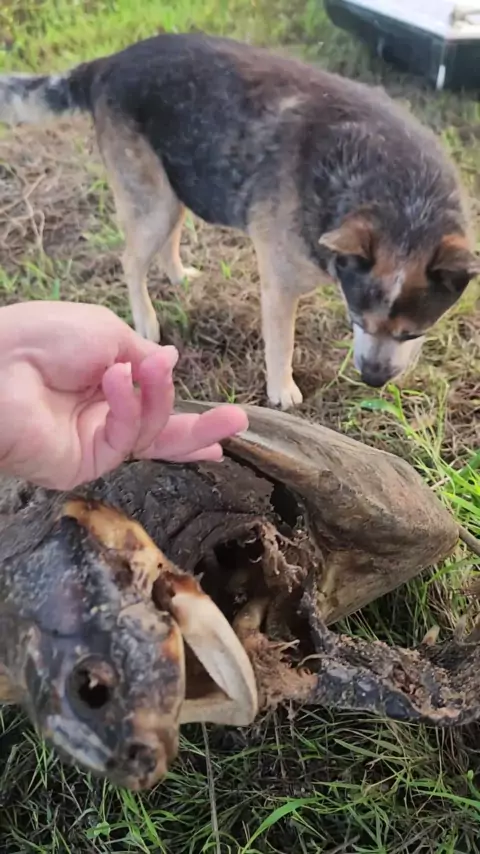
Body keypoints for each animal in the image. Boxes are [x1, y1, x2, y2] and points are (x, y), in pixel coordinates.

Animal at [0, 33, 478, 408]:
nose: (373, 380)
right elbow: (281, 341)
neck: (401, 198)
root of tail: (109, 62)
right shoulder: (281, 284)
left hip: (179, 180)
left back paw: (178, 276)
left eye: (413, 333)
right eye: (358, 320)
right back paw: (146, 321)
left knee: (168, 237)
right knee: (132, 261)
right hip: (151, 197)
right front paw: (282, 391)